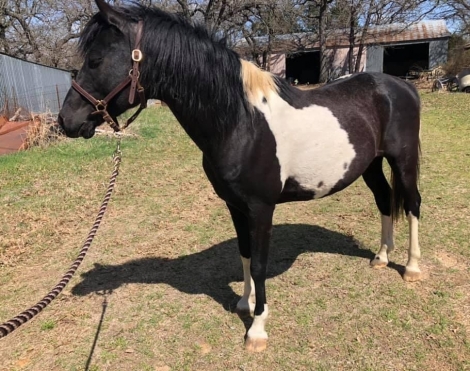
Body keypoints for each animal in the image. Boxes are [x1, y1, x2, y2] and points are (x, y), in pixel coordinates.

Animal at [58, 0, 422, 354]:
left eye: (95, 60)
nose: (66, 122)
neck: (240, 123)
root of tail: (401, 85)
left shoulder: (261, 208)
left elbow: (259, 264)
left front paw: (257, 330)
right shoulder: (235, 205)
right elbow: (244, 254)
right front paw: (244, 303)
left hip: (402, 161)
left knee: (413, 204)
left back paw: (412, 268)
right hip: (370, 164)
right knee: (384, 200)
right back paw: (381, 257)